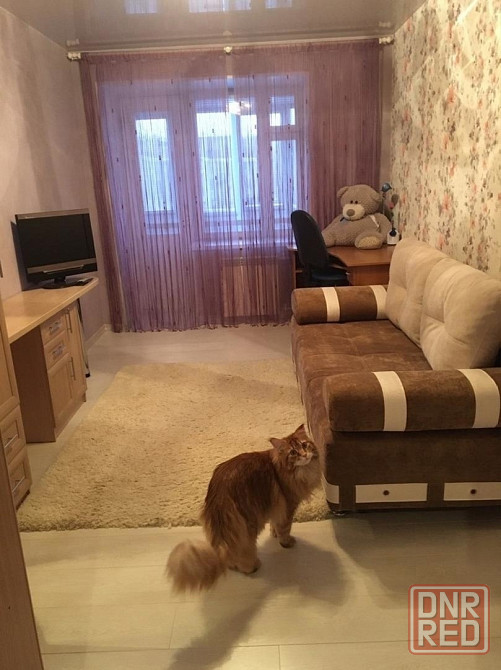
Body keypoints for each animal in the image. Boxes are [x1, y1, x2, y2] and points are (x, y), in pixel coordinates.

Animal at [166, 424, 320, 592]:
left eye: (304, 445)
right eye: (293, 452)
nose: (304, 455)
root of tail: (219, 496)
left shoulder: (276, 507)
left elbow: (275, 524)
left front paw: (273, 533)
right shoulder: (288, 505)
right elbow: (285, 529)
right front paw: (286, 542)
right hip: (249, 527)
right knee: (240, 555)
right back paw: (253, 566)